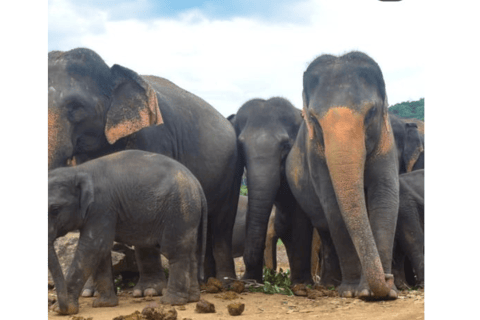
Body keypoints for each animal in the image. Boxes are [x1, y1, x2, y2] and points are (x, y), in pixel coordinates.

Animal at [47, 47, 244, 296]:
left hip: (233, 170)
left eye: (76, 108)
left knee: (221, 225)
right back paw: (203, 282)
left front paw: (149, 291)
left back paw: (225, 284)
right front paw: (89, 293)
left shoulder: (153, 137)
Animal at [47, 151, 207, 316]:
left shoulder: (101, 206)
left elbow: (93, 247)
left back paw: (171, 302)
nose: (60, 306)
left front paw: (60, 310)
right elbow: (100, 250)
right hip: (188, 214)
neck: (77, 170)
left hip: (178, 211)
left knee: (174, 252)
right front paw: (104, 304)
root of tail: (197, 185)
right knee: (191, 252)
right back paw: (192, 298)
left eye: (55, 209)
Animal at [227, 97, 314, 282]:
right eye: (240, 146)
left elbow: (300, 219)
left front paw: (301, 284)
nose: (243, 277)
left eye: (286, 146)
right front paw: (251, 280)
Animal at [284, 50, 402, 300]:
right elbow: (332, 205)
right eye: (313, 118)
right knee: (325, 230)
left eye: (371, 112)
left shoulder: (386, 140)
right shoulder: (315, 153)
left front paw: (386, 293)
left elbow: (385, 196)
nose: (388, 278)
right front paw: (352, 292)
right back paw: (331, 284)